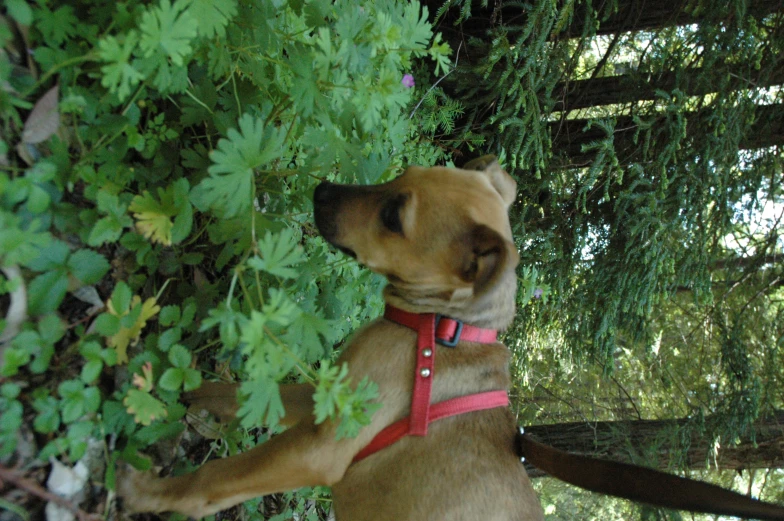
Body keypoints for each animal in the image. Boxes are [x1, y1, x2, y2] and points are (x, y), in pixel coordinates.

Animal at [118, 157, 544, 520]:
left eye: (393, 217)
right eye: (404, 171)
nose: (321, 190)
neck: (438, 328)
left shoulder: (319, 450)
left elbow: (217, 476)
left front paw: (147, 493)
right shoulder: (327, 393)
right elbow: (241, 392)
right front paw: (187, 390)